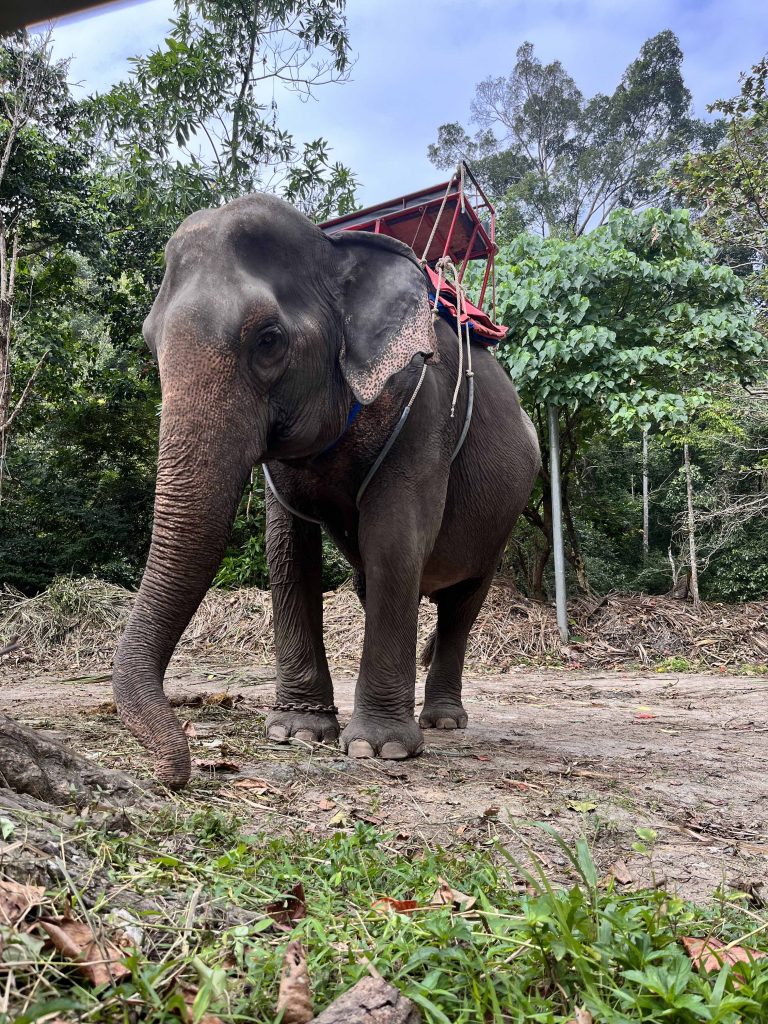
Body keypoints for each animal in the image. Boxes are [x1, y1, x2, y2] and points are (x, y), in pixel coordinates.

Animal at [112, 192, 540, 786]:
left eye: (269, 339)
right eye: (151, 342)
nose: (171, 773)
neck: (335, 246)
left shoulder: (423, 409)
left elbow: (394, 540)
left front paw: (379, 748)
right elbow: (288, 552)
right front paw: (296, 731)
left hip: (506, 513)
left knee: (463, 602)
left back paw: (443, 722)